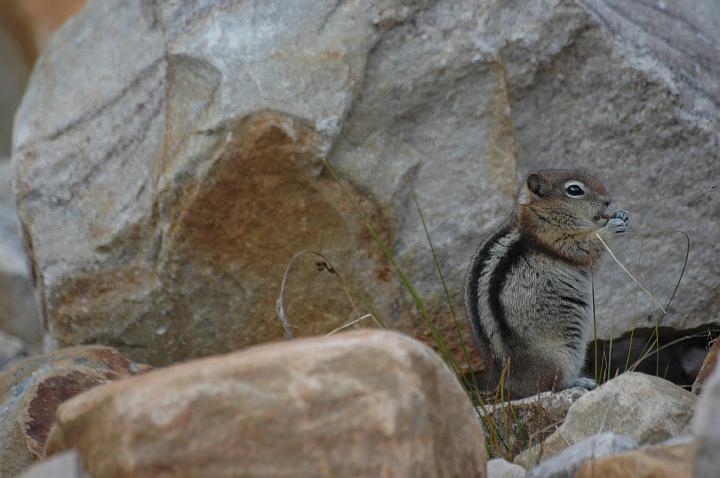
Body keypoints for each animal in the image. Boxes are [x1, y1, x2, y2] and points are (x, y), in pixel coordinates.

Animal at [466, 170, 632, 398]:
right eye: (574, 190)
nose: (608, 200)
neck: (536, 213)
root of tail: (509, 389)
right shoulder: (558, 237)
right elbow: (587, 247)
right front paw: (611, 228)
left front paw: (621, 214)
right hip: (562, 355)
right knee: (551, 386)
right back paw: (580, 381)